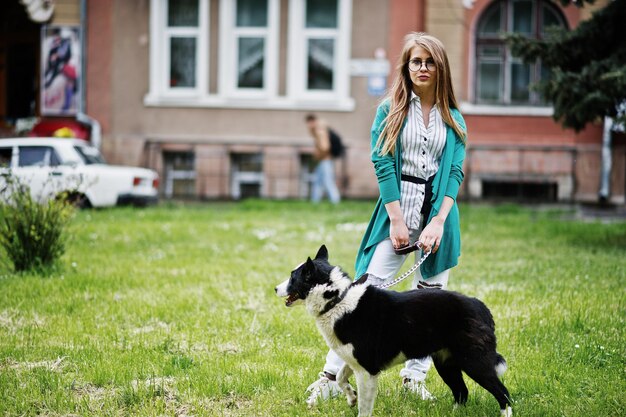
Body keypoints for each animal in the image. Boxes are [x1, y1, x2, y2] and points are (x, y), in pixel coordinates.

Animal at [276, 245, 510, 416]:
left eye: (293, 277)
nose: (275, 288)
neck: (338, 299)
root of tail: (481, 307)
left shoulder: (367, 370)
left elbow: (364, 407)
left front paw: (355, 401)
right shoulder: (354, 361)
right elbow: (341, 378)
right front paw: (351, 397)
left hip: (474, 362)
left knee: (503, 394)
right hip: (446, 363)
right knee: (462, 392)